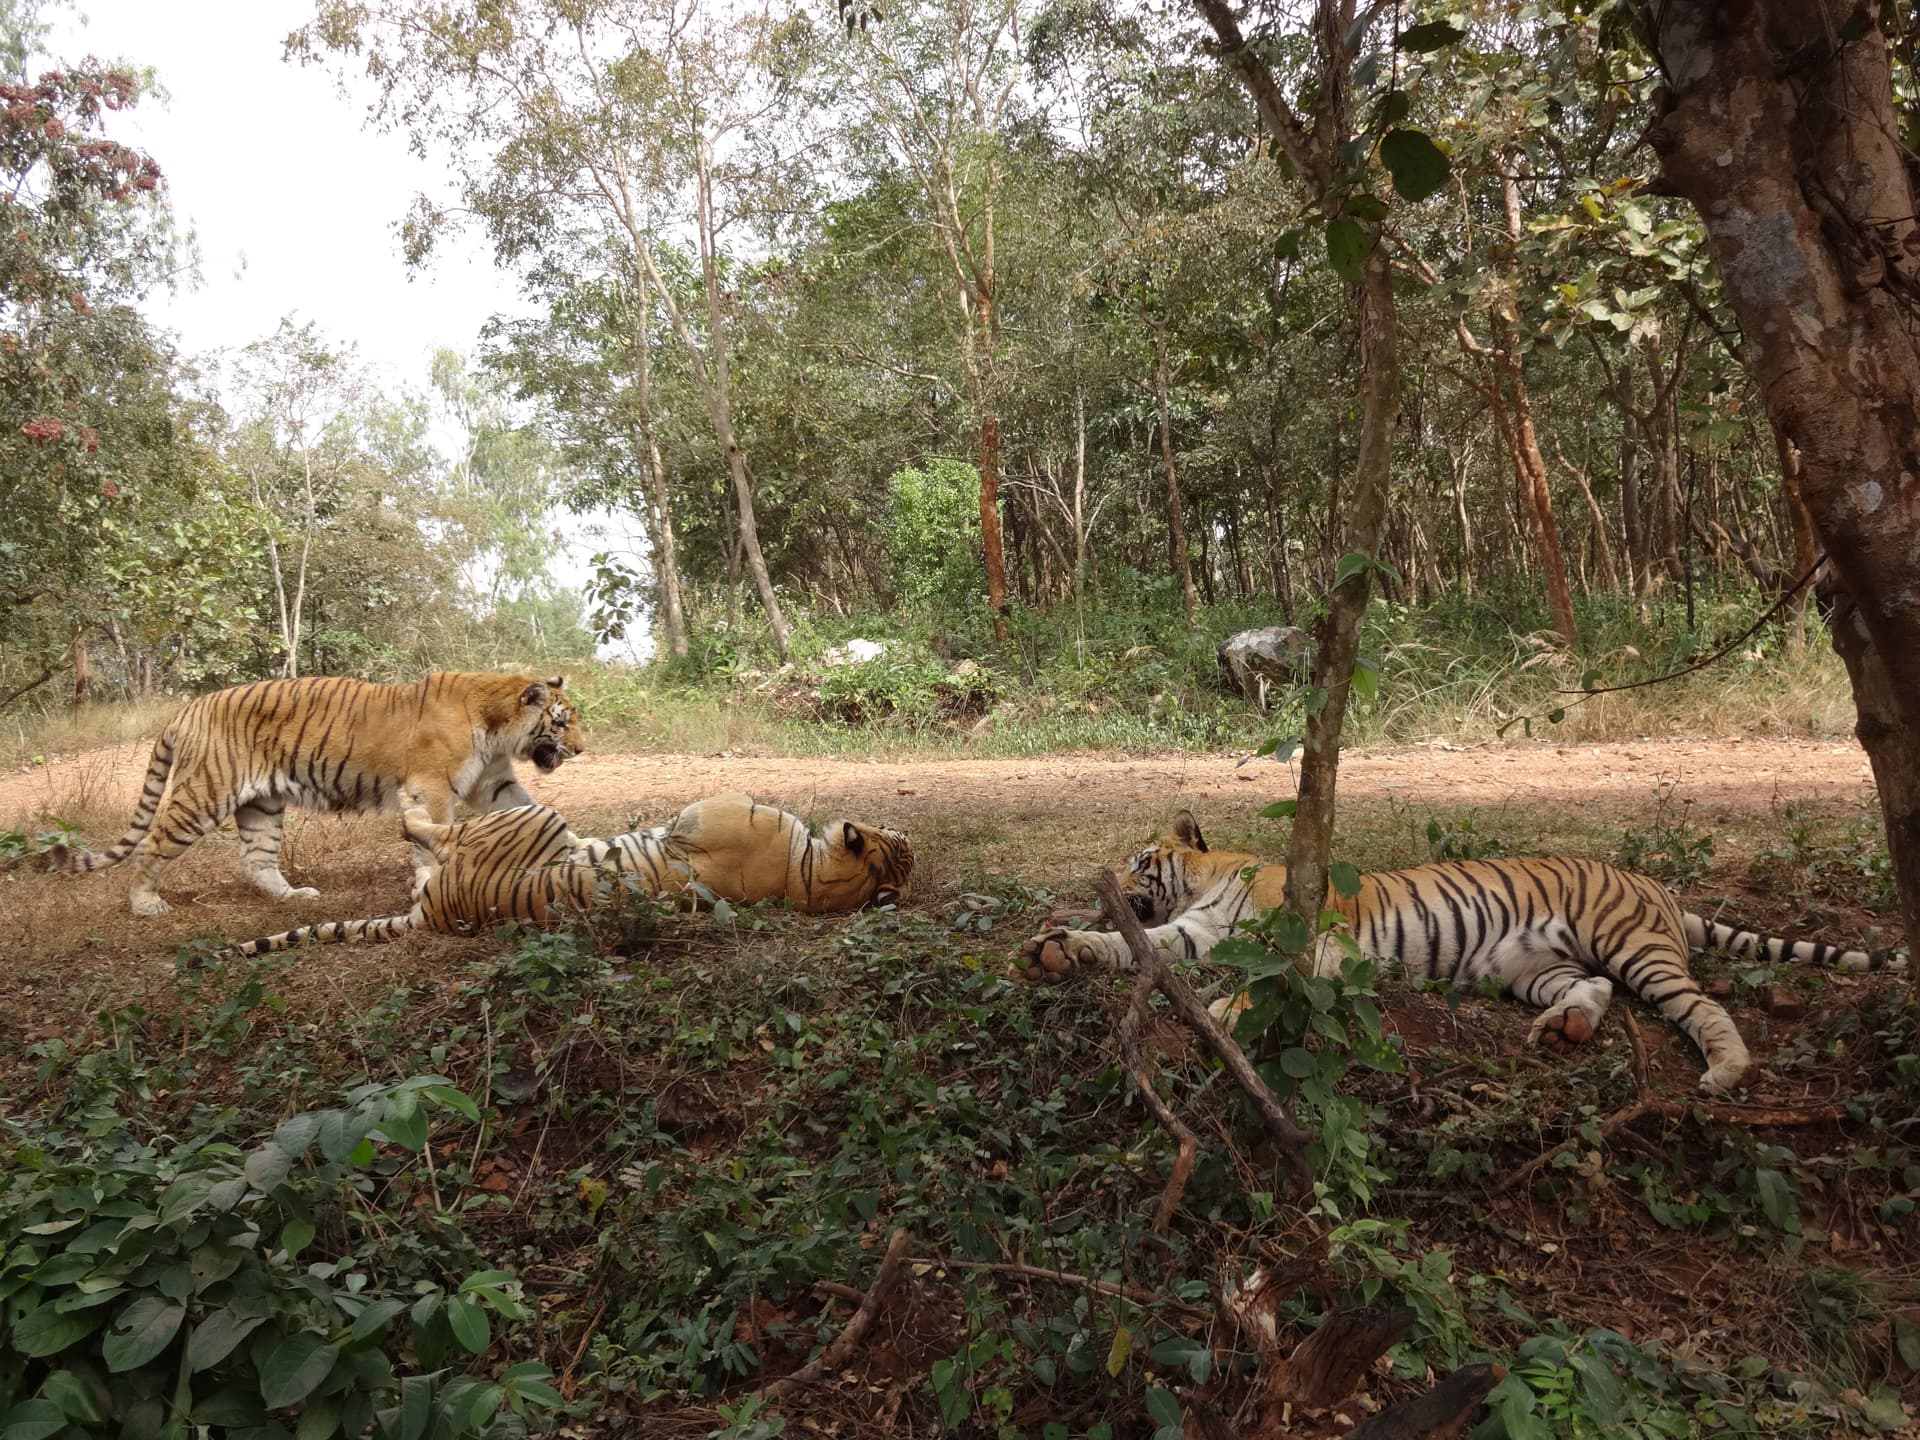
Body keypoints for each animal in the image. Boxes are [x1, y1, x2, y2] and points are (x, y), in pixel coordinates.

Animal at [48, 672, 583, 916]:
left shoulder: (491, 781)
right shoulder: (429, 787)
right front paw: (428, 882)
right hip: (203, 794)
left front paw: (571, 844)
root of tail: (188, 709)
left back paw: (293, 896)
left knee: (255, 859)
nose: (580, 749)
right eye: (561, 721)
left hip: (261, 805)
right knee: (153, 843)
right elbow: (430, 836)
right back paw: (145, 903)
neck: (497, 724)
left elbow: (530, 809)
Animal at [1017, 812, 1901, 1094]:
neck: (1203, 884)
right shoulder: (1194, 933)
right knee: (1594, 993)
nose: (1109, 875)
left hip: (1632, 944)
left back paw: (1725, 1070)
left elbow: (1269, 984)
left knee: (1700, 1003)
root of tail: (1659, 887)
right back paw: (1565, 1032)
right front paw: (1061, 949)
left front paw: (1225, 1013)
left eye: (1142, 858)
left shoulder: (1315, 941)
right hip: (1534, 969)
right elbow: (1135, 947)